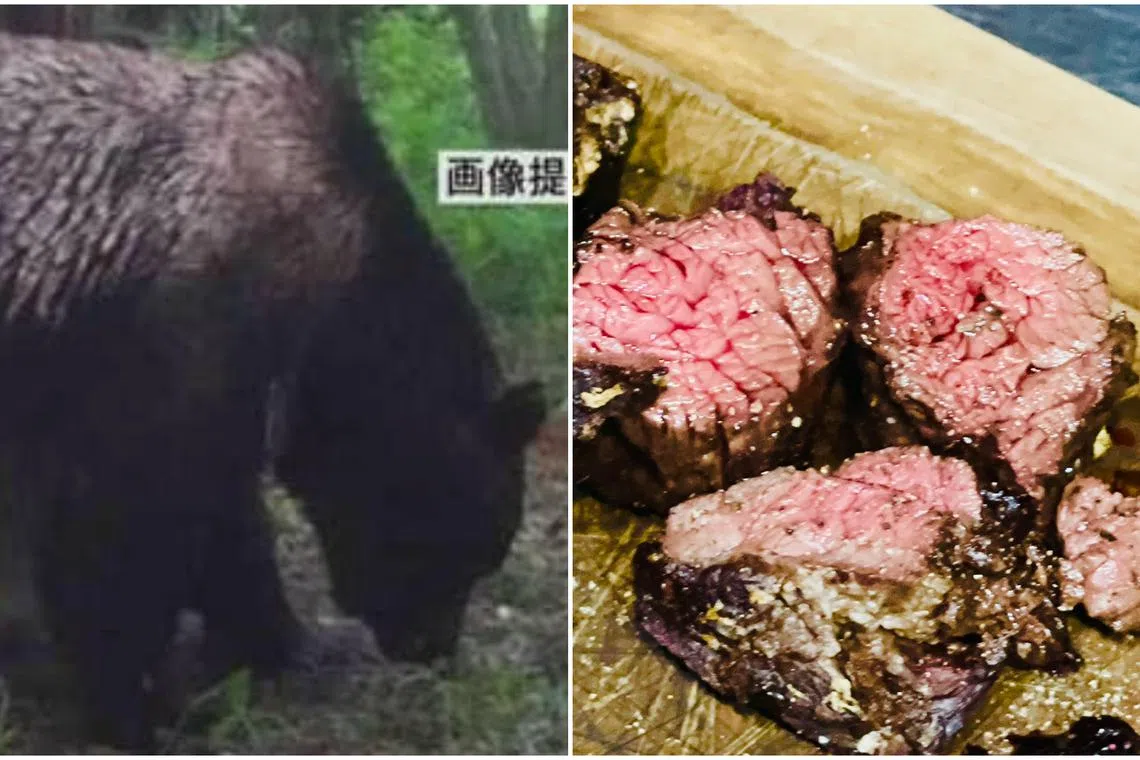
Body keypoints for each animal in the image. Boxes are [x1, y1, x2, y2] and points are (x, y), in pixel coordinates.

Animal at [0, 31, 546, 749]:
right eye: (468, 553)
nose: (432, 648)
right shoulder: (177, 340)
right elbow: (127, 527)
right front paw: (136, 704)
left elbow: (231, 523)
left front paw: (288, 644)